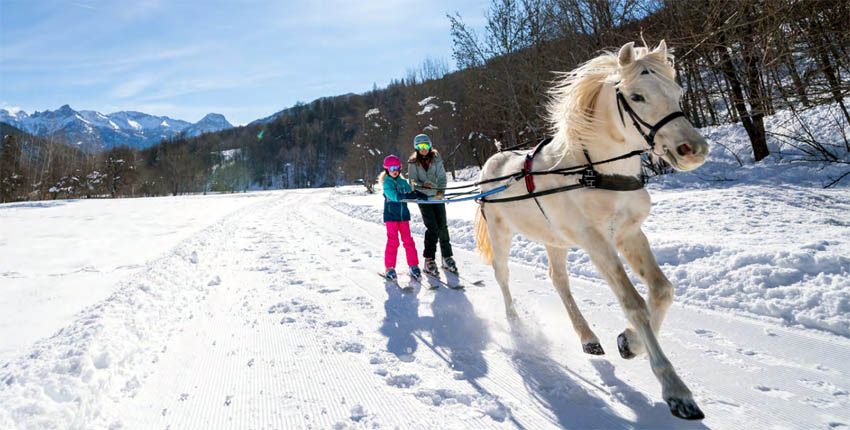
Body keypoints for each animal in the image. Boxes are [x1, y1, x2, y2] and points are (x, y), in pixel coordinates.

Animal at [474, 41, 704, 420]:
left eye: (677, 91)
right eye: (637, 96)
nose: (693, 149)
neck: (594, 170)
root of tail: (490, 163)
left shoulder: (629, 235)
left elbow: (662, 291)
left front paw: (629, 343)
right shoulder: (597, 242)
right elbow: (633, 303)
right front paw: (676, 391)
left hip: (555, 241)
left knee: (559, 280)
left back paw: (588, 337)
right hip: (502, 235)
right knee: (502, 276)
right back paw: (516, 323)